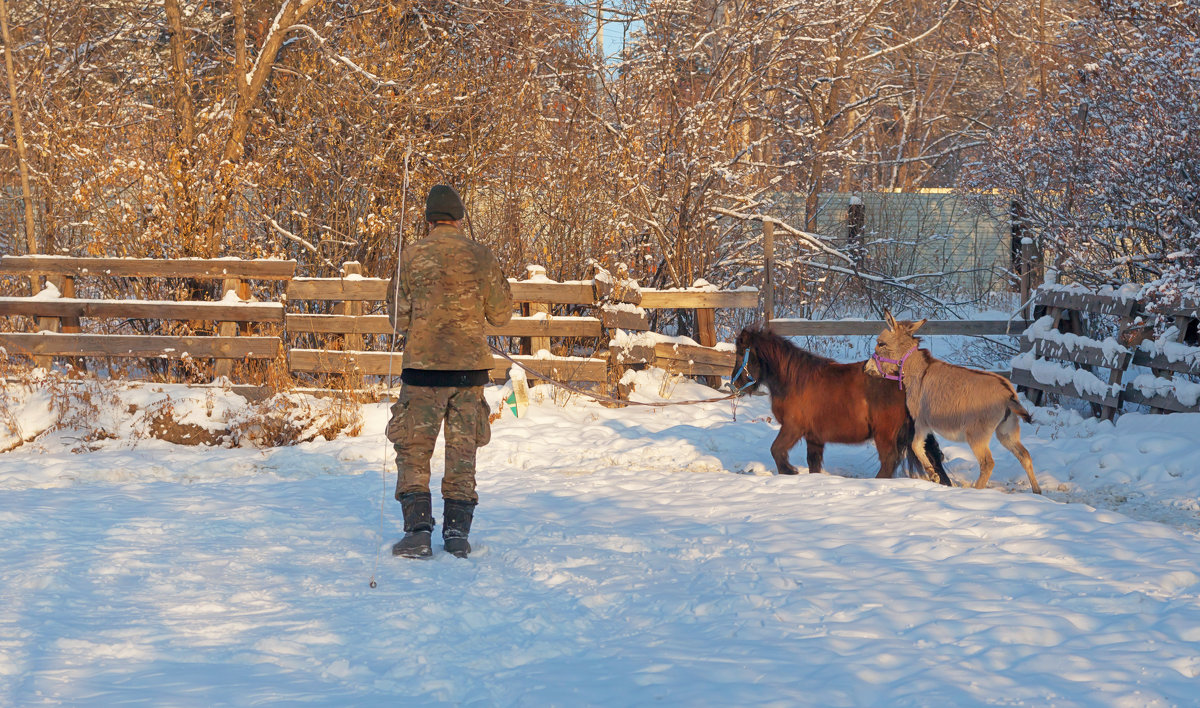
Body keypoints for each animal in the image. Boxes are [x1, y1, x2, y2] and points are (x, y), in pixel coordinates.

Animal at [729, 324, 945, 484]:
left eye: (740, 354)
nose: (735, 383)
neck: (794, 381)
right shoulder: (813, 437)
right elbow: (813, 463)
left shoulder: (792, 428)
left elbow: (776, 450)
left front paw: (789, 471)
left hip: (884, 433)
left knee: (889, 460)